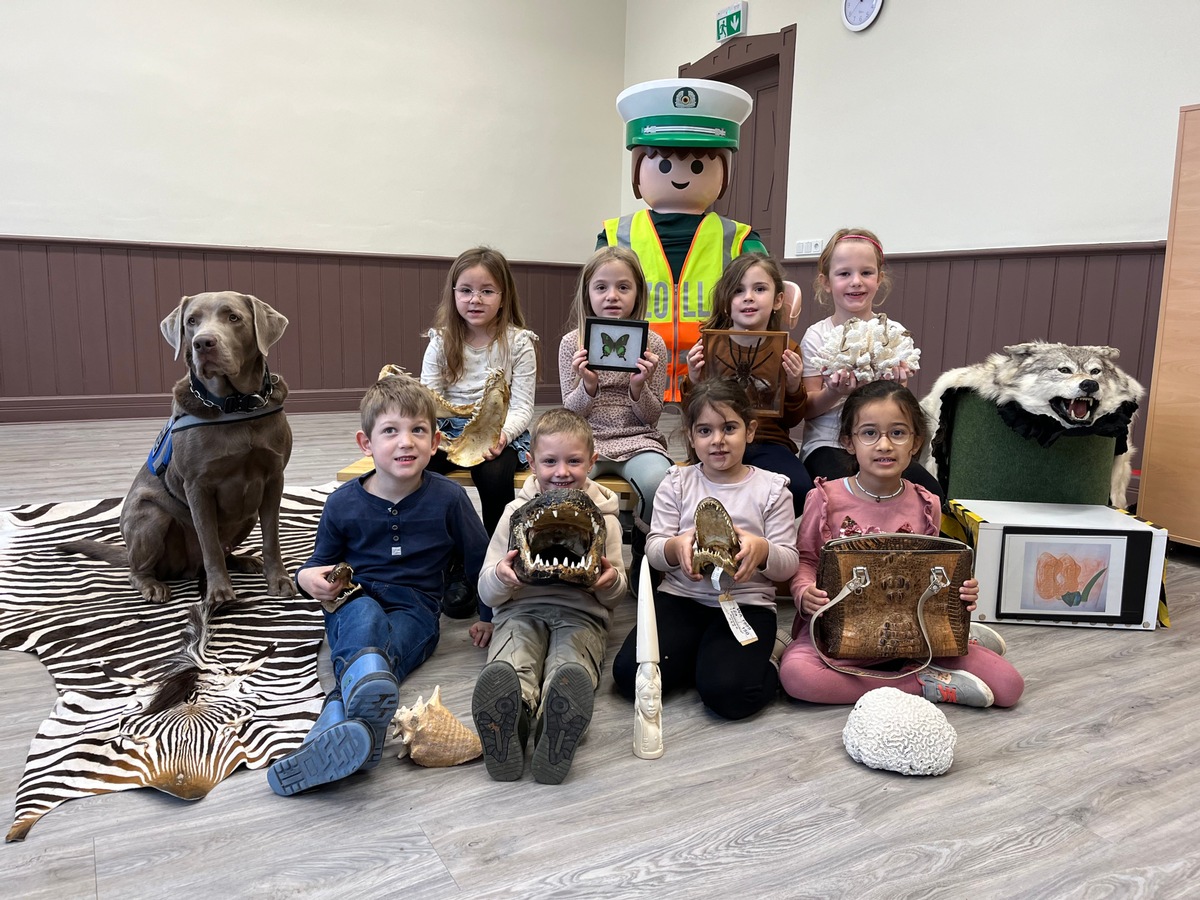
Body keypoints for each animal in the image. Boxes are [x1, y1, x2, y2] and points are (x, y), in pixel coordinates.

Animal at [69, 292, 295, 607]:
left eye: (233, 317)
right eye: (191, 321)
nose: (203, 343)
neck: (235, 406)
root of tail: (186, 570)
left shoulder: (274, 477)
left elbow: (271, 536)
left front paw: (278, 580)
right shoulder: (197, 485)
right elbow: (209, 543)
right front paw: (219, 592)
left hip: (248, 514)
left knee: (225, 549)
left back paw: (244, 560)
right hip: (151, 517)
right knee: (138, 570)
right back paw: (152, 586)